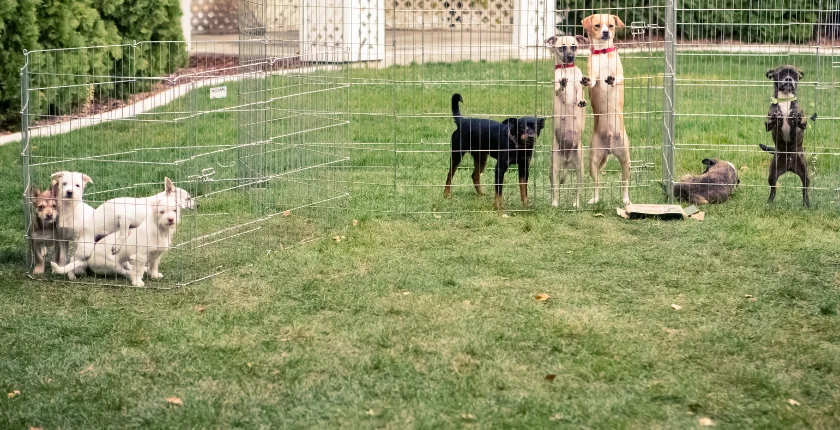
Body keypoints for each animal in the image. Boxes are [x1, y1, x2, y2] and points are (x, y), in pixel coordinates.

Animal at [51, 193, 181, 288]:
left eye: (175, 210)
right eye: (162, 212)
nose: (171, 219)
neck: (161, 231)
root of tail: (87, 262)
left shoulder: (156, 254)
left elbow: (154, 265)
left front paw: (154, 275)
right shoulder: (139, 255)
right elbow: (137, 270)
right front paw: (137, 282)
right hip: (106, 260)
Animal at [544, 34, 592, 207]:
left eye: (574, 46)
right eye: (562, 48)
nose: (571, 57)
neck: (568, 71)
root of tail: (566, 159)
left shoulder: (579, 87)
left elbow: (580, 93)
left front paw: (581, 101)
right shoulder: (557, 88)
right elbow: (560, 89)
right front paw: (563, 84)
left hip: (580, 168)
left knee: (577, 188)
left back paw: (576, 204)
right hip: (554, 166)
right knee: (555, 187)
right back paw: (554, 203)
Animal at [584, 11, 632, 203]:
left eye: (610, 26)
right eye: (597, 26)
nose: (605, 33)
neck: (603, 53)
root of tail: (610, 148)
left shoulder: (621, 76)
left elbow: (617, 78)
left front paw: (610, 79)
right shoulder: (593, 75)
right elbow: (592, 81)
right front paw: (586, 80)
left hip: (626, 159)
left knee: (624, 183)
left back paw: (626, 200)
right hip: (593, 160)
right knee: (597, 183)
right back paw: (594, 199)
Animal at [760, 63, 808, 208]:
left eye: (794, 74)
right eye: (780, 74)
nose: (788, 79)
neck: (785, 99)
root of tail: (789, 166)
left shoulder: (803, 121)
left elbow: (801, 120)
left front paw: (795, 116)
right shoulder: (768, 124)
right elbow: (771, 121)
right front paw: (776, 117)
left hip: (805, 174)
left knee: (805, 190)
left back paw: (807, 204)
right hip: (772, 173)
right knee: (773, 189)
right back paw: (769, 202)